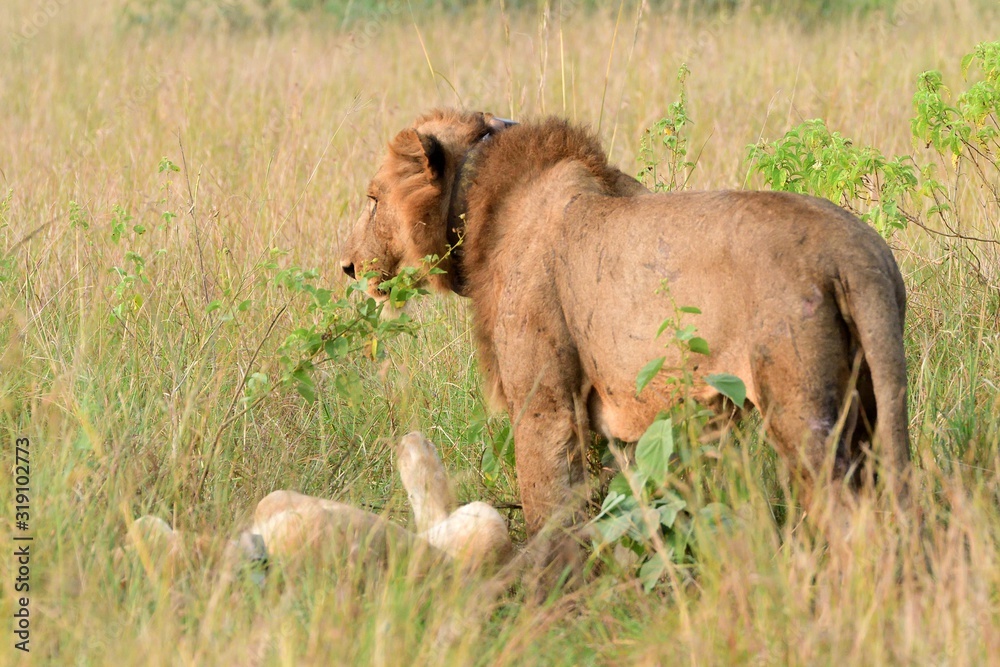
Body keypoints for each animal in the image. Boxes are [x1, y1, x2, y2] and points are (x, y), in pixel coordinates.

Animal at [341, 109, 911, 573]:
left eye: (372, 200)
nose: (346, 266)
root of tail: (858, 252)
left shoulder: (545, 403)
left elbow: (549, 507)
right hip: (867, 402)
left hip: (801, 412)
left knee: (849, 518)